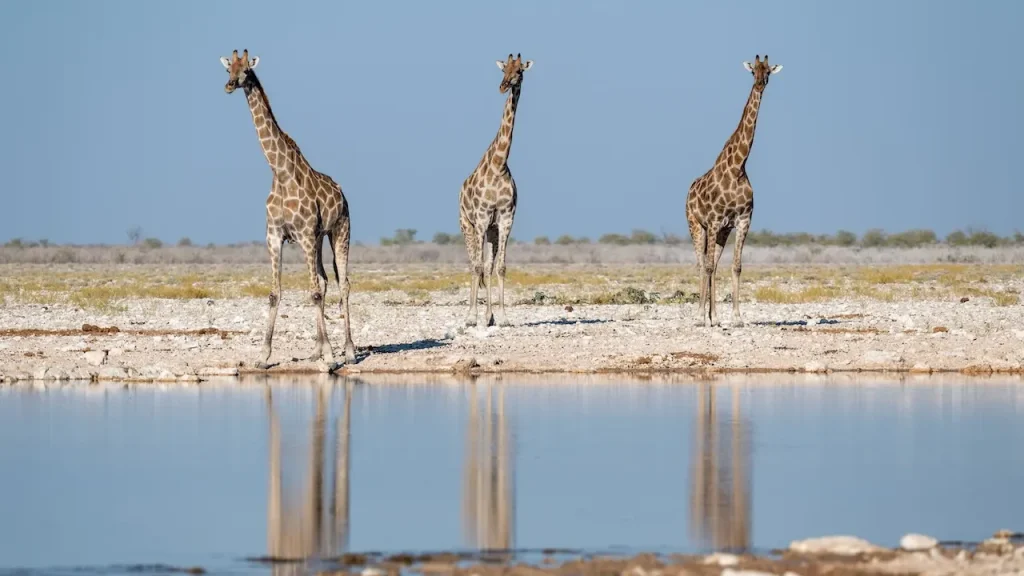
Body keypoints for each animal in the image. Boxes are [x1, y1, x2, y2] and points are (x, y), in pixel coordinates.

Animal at [220, 49, 356, 368]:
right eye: (228, 69)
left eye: (246, 70)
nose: (230, 85)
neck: (280, 173)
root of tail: (343, 194)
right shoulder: (274, 237)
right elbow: (275, 293)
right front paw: (263, 355)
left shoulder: (305, 235)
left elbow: (314, 293)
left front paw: (331, 357)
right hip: (318, 239)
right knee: (325, 281)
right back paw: (316, 350)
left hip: (340, 231)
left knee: (343, 284)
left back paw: (349, 351)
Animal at [459, 53, 534, 327]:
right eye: (504, 70)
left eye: (519, 71)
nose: (503, 86)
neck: (499, 164)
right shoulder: (481, 218)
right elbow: (479, 266)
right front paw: (475, 317)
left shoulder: (505, 218)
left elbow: (499, 266)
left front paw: (501, 316)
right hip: (467, 225)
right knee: (473, 263)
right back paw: (471, 315)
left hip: (491, 230)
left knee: (488, 265)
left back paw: (488, 315)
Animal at [685, 54, 782, 328]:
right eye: (752, 72)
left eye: (768, 71)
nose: (760, 84)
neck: (738, 167)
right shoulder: (714, 221)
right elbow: (707, 267)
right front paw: (700, 318)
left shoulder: (742, 220)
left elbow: (736, 266)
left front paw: (737, 317)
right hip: (696, 225)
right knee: (701, 265)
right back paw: (702, 316)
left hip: (722, 232)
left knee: (714, 265)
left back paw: (715, 316)